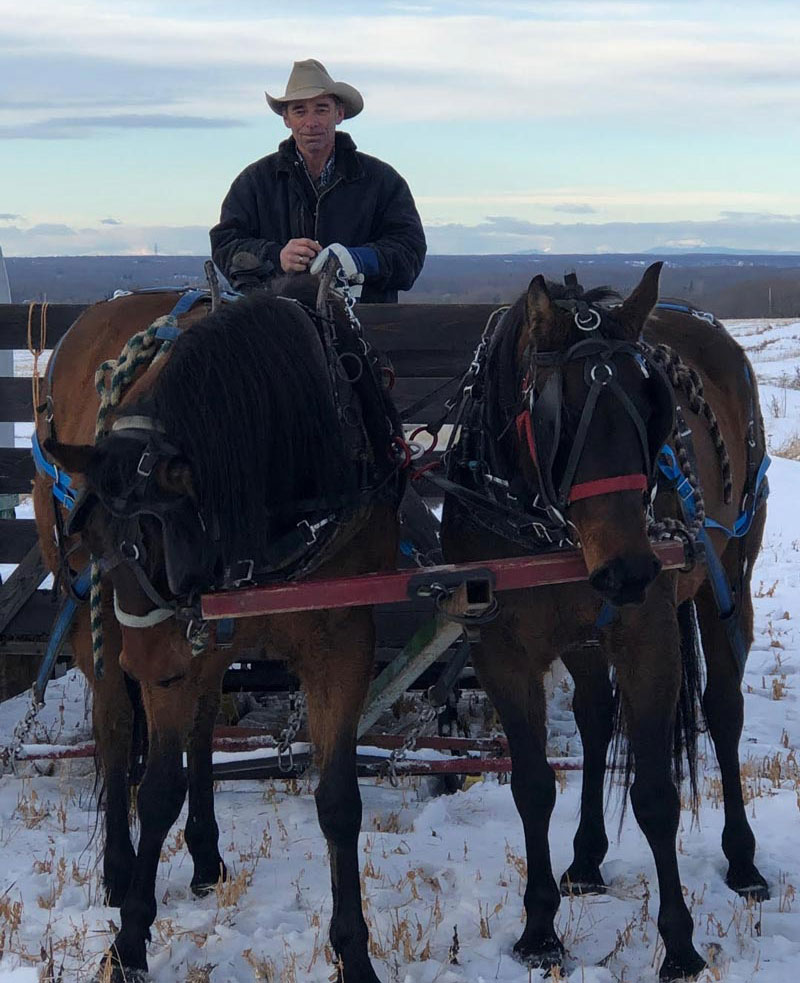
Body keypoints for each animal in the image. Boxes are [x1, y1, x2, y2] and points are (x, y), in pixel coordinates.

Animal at [33, 276, 404, 983]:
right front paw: (127, 945)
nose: (145, 669)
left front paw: (354, 953)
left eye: (157, 545)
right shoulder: (166, 648)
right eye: (99, 545)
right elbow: (155, 791)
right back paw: (119, 871)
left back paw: (204, 854)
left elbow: (339, 801)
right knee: (115, 730)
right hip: (103, 630)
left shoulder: (342, 640)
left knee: (202, 725)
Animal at [439, 262, 768, 981]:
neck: (548, 527)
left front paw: (679, 943)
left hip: (728, 575)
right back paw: (586, 857)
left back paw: (744, 859)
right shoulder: (502, 652)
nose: (629, 571)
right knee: (594, 717)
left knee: (723, 710)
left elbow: (655, 796)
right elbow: (532, 787)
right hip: (585, 634)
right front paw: (539, 930)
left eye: (650, 408)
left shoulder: (647, 639)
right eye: (556, 417)